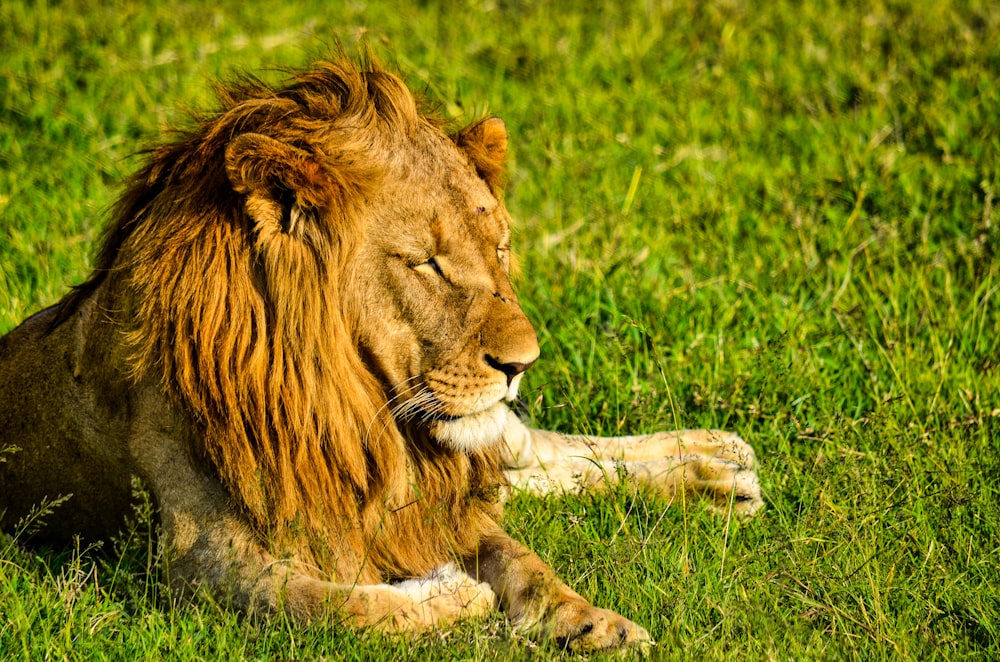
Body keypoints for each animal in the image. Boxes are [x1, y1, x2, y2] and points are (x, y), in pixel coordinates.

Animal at [0, 55, 756, 652]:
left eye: (500, 248)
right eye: (426, 263)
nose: (524, 363)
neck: (352, 410)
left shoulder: (430, 500)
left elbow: (525, 563)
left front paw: (593, 622)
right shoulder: (195, 558)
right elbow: (338, 608)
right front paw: (455, 593)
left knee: (539, 451)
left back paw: (717, 466)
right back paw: (720, 476)